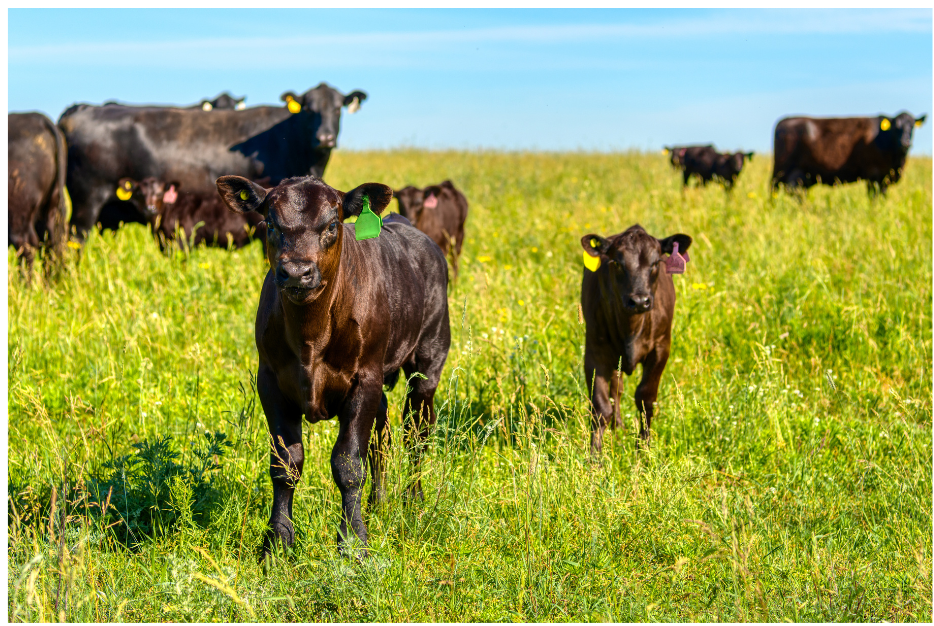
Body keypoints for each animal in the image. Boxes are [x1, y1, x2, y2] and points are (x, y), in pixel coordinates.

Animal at [215, 174, 450, 559]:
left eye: (331, 225)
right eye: (271, 224)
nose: (297, 271)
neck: (310, 337)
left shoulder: (363, 380)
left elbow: (348, 464)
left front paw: (353, 543)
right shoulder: (271, 382)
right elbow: (286, 463)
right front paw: (277, 542)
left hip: (428, 361)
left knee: (416, 433)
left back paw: (413, 501)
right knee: (382, 437)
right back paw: (378, 504)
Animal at [580, 224, 692, 454]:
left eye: (656, 263)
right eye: (617, 263)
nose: (639, 301)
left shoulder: (661, 348)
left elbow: (645, 399)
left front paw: (644, 449)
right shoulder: (594, 351)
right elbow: (600, 406)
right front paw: (595, 454)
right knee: (616, 389)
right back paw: (617, 427)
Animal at [771, 112, 927, 195]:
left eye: (912, 126)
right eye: (896, 127)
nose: (905, 142)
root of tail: (783, 121)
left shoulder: (884, 178)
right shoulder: (874, 175)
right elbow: (874, 198)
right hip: (782, 170)